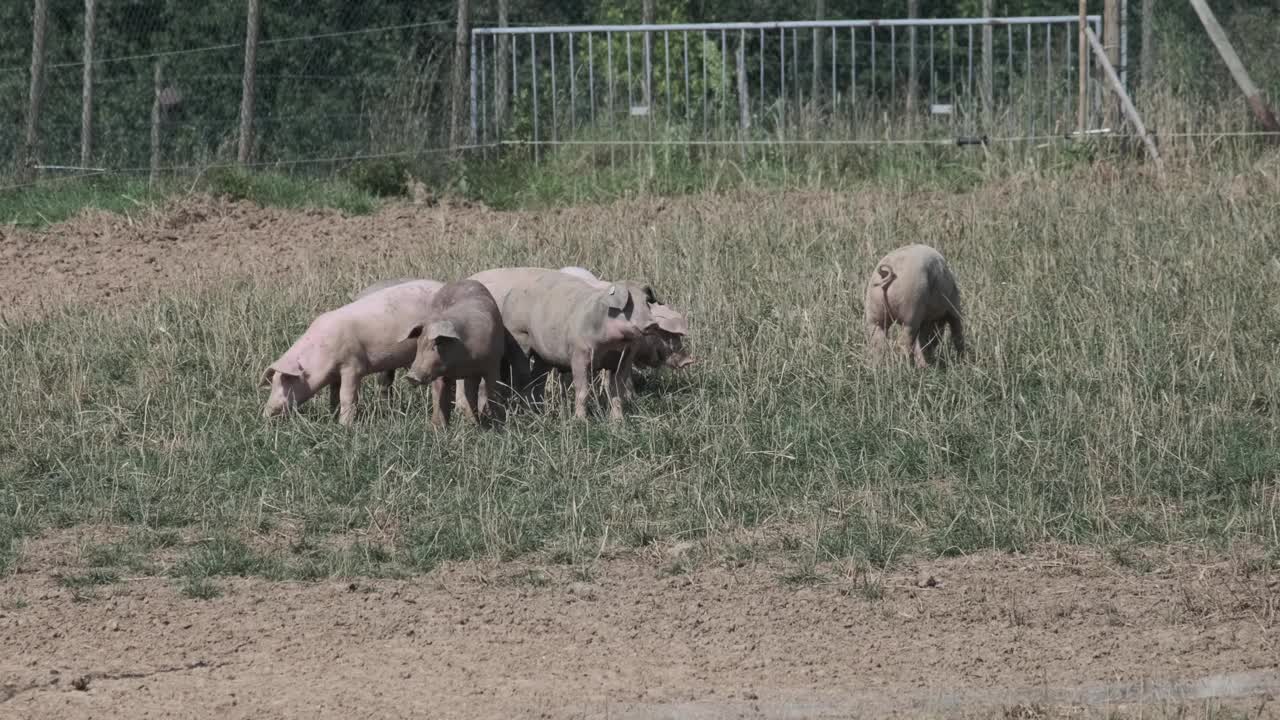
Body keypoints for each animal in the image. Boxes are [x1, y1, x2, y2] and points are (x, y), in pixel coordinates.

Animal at [259, 279, 445, 425]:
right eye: (273, 382)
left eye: (286, 380)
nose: (265, 414)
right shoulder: (334, 374)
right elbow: (334, 395)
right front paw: (331, 417)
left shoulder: (353, 366)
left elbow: (346, 396)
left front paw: (344, 426)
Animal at [401, 278, 517, 425]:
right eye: (418, 343)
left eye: (437, 343)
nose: (411, 376)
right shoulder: (439, 372)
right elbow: (440, 399)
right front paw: (437, 428)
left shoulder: (493, 364)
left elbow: (493, 394)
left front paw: (498, 425)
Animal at [468, 266, 655, 417]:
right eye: (629, 304)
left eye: (647, 302)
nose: (652, 323)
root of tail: (513, 293)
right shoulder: (579, 354)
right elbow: (583, 391)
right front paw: (581, 421)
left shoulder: (624, 360)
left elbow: (617, 392)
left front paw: (618, 422)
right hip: (519, 339)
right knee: (522, 379)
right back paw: (528, 413)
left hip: (543, 354)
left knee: (538, 381)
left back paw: (539, 411)